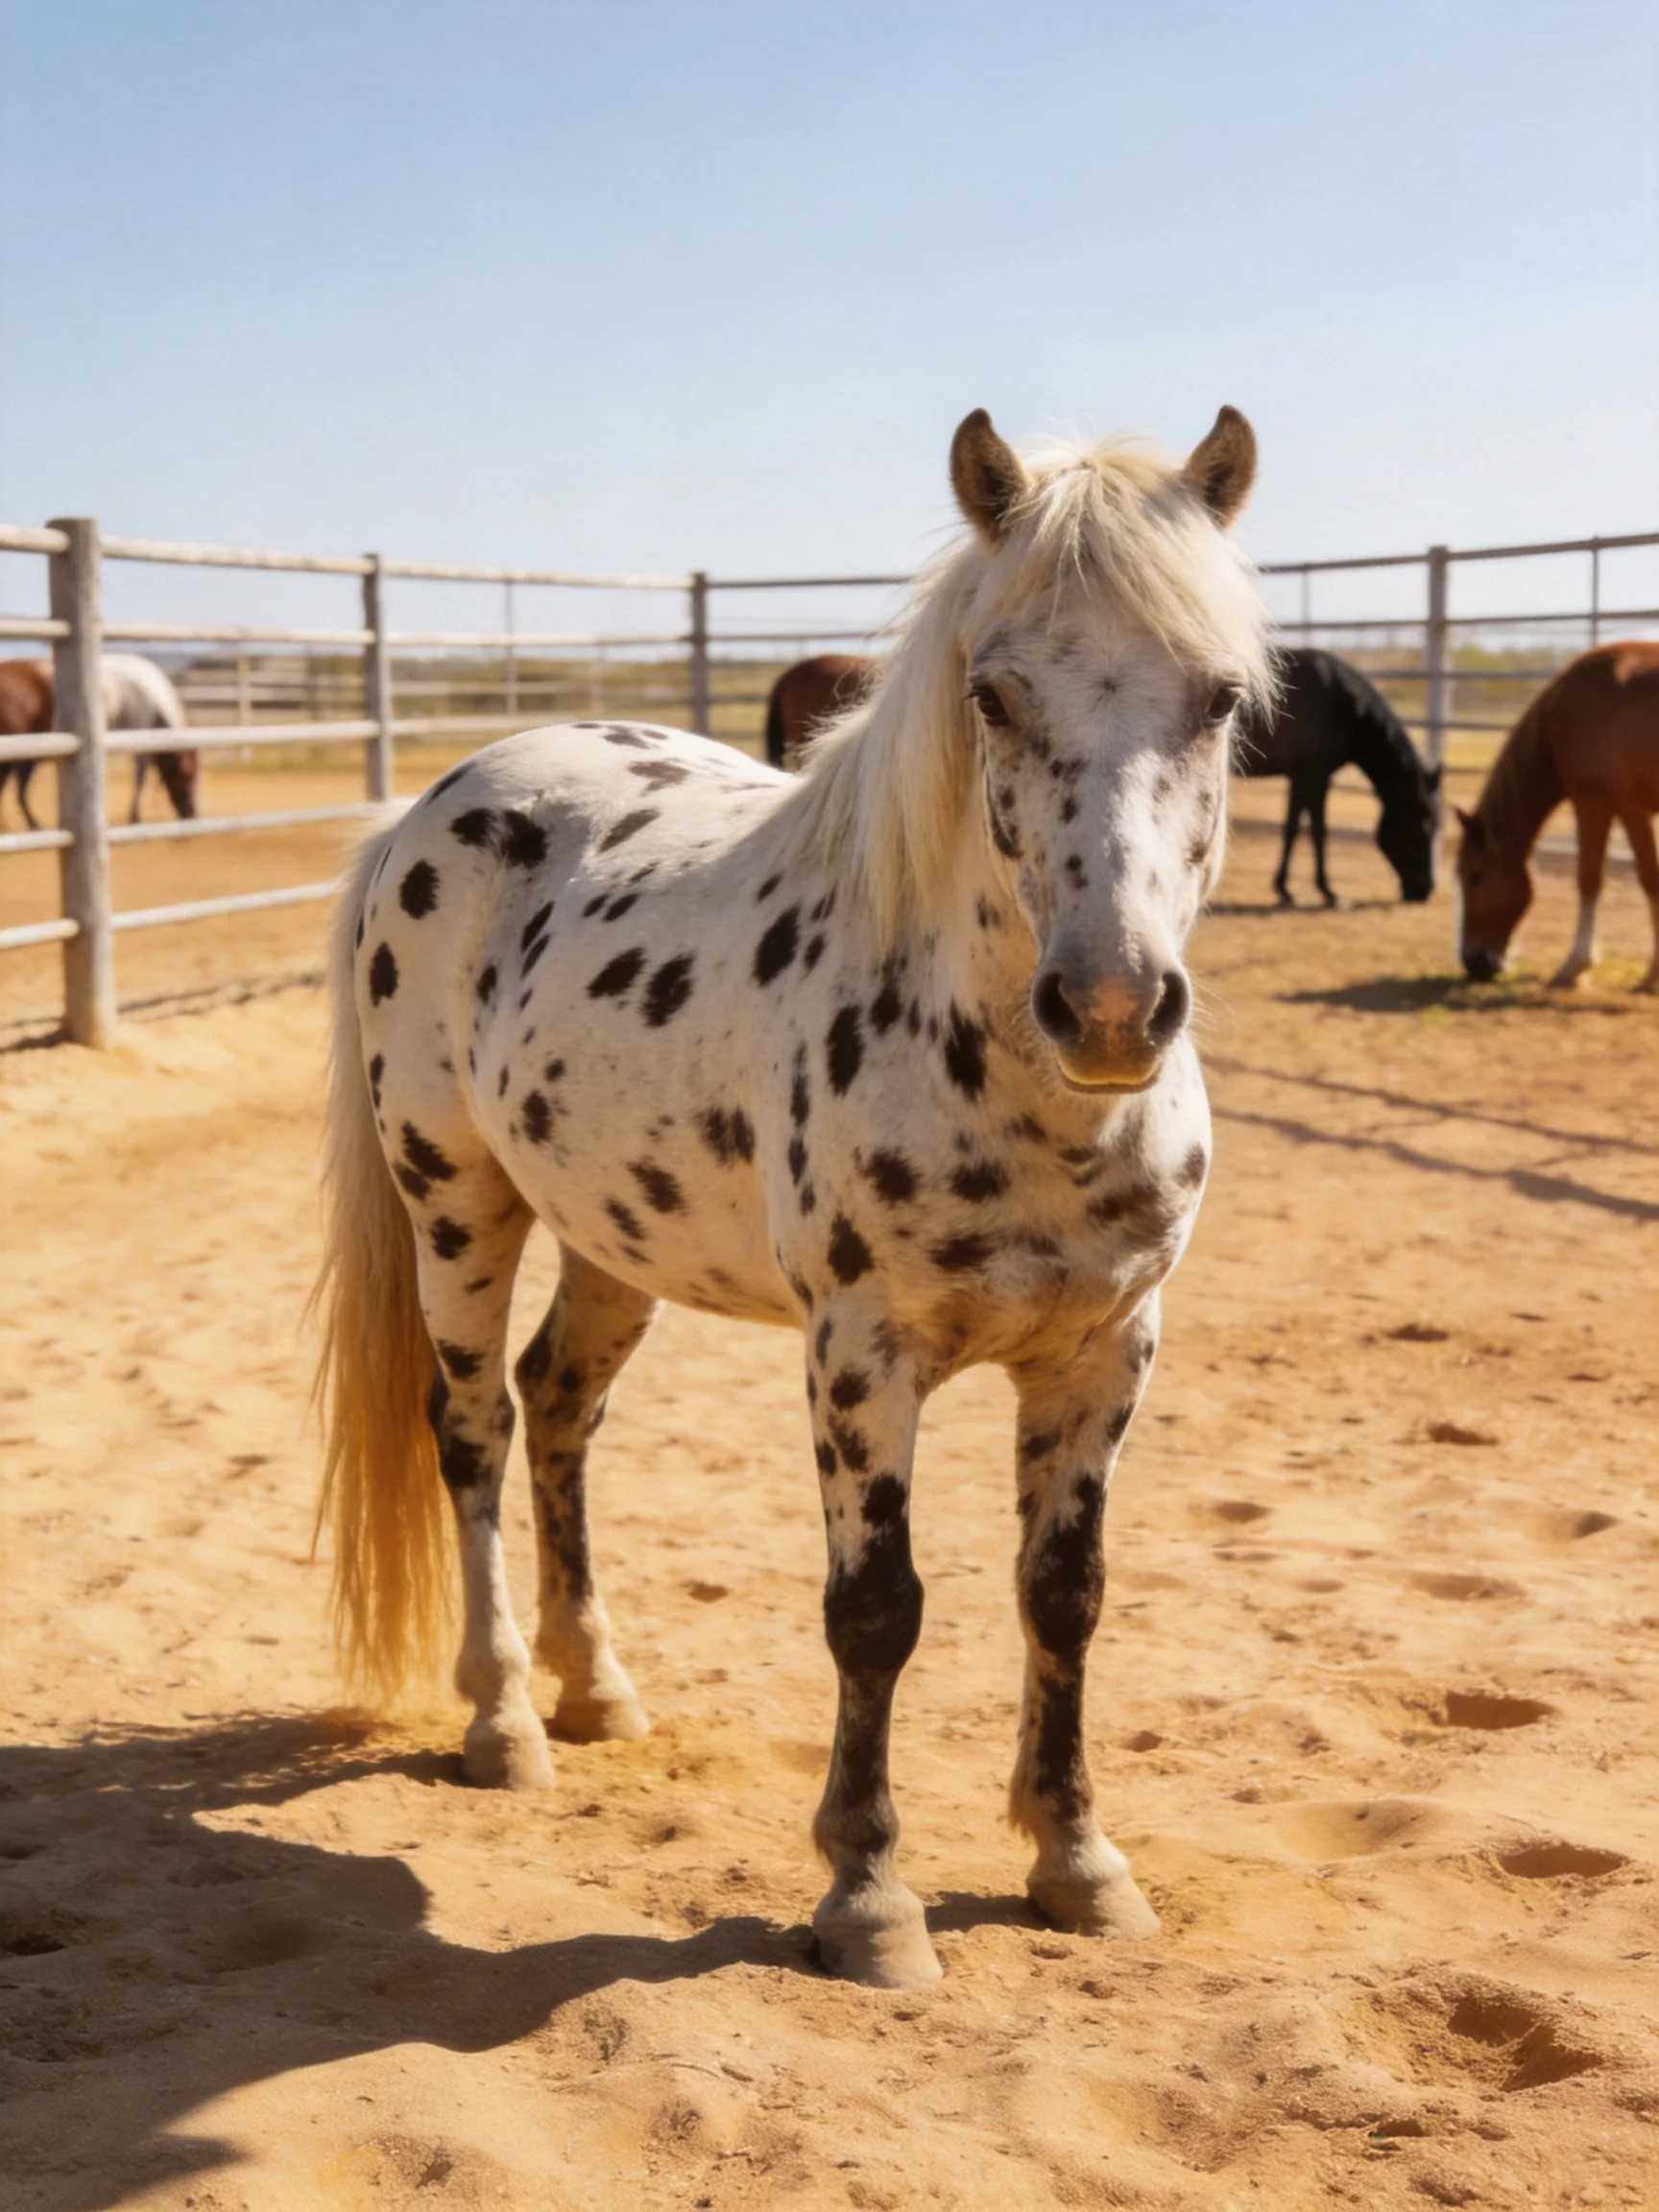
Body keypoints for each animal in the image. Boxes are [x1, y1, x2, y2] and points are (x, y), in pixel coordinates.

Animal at [314, 403, 1270, 1989]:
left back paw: (598, 1687)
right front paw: (868, 1898)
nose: (1111, 1008)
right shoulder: (860, 1354)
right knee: (476, 1430)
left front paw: (1077, 1862)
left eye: (1221, 698)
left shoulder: (1105, 1352)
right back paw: (505, 1720)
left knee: (560, 1407)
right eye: (994, 695)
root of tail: (438, 801)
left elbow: (1064, 1596)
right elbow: (876, 1614)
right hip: (457, 1205)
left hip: (613, 1240)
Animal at [1234, 646, 1439, 904]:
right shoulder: (1312, 776)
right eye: (1424, 825)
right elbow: (1313, 830)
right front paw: (1322, 890)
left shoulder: (1305, 778)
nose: (1425, 889)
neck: (1341, 703)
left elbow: (1299, 828)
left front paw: (1289, 888)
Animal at [1456, 642, 1659, 990]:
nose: (1474, 962)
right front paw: (1652, 974)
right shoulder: (1633, 809)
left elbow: (1590, 878)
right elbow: (1650, 878)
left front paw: (1575, 965)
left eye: (1475, 875)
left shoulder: (1595, 804)